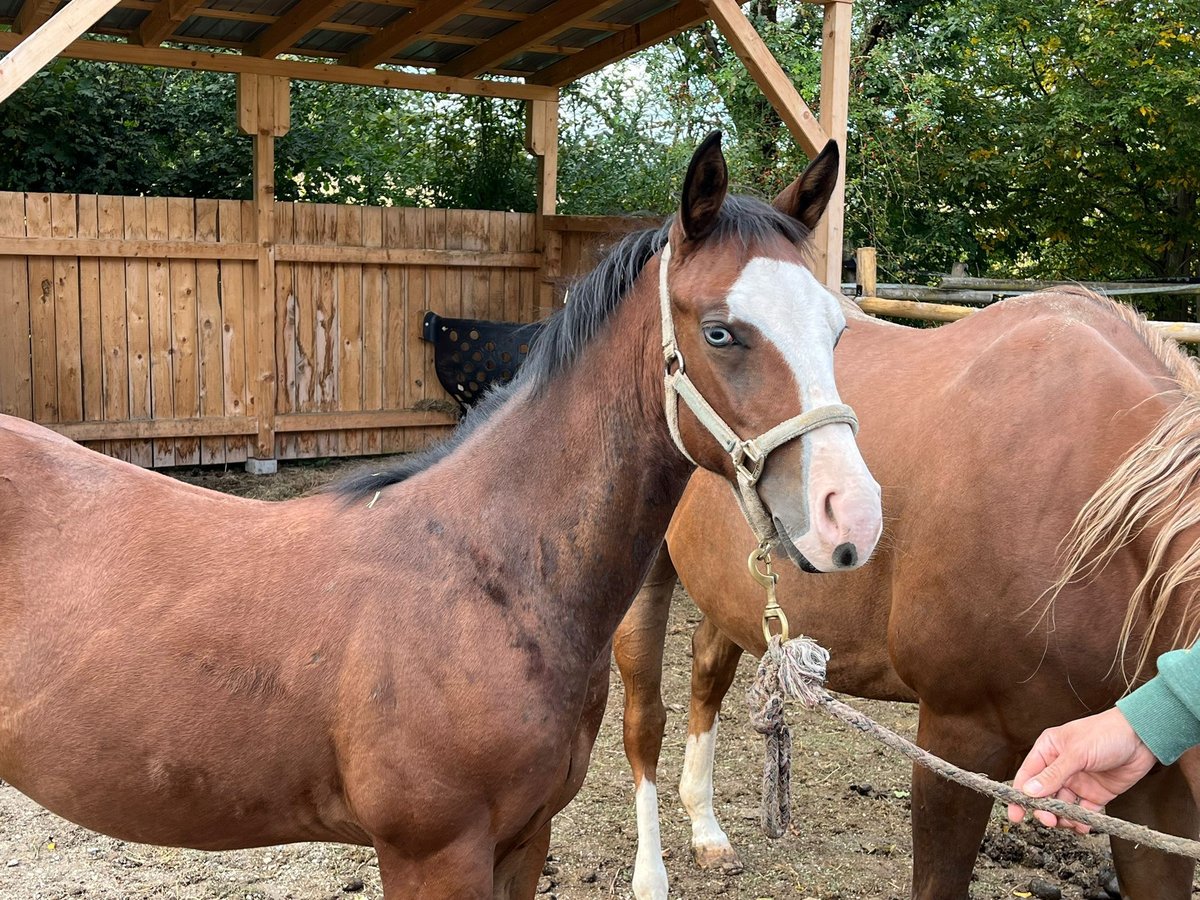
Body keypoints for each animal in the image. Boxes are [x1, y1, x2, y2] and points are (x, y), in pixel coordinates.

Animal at [614, 289, 1200, 900]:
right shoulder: (955, 737)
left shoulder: (1152, 778)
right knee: (643, 721)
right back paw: (649, 875)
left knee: (708, 673)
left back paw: (706, 830)